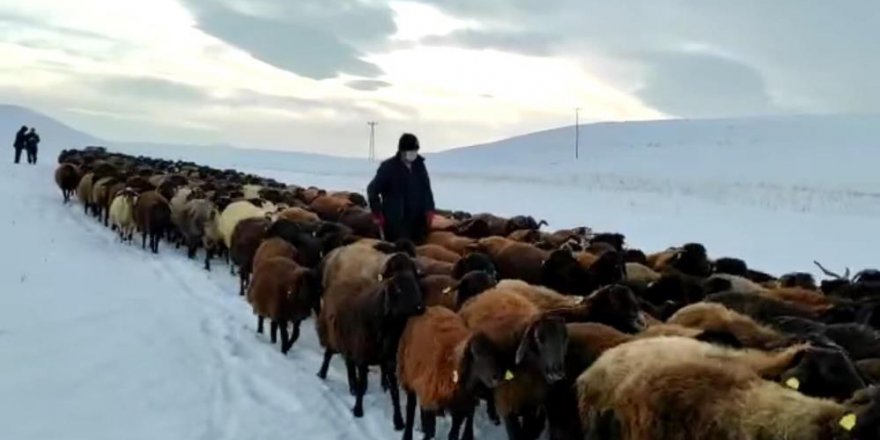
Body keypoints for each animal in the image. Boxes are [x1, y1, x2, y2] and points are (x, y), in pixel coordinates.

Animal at [316, 253, 426, 428]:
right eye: (396, 285)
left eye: (416, 280)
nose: (419, 308)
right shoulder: (362, 355)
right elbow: (363, 384)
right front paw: (358, 410)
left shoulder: (389, 360)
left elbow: (394, 391)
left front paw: (398, 420)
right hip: (334, 335)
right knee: (328, 354)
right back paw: (322, 374)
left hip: (349, 341)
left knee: (348, 363)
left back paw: (352, 386)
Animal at [398, 308, 506, 440]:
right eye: (476, 352)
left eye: (497, 353)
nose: (497, 377)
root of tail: (432, 307)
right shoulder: (432, 396)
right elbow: (429, 427)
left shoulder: (460, 407)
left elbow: (453, 433)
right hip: (407, 373)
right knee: (411, 408)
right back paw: (407, 434)